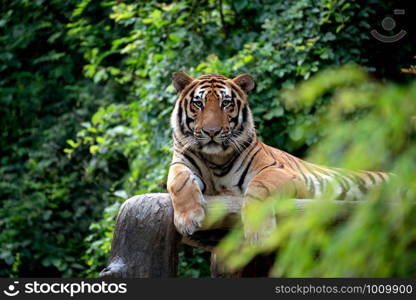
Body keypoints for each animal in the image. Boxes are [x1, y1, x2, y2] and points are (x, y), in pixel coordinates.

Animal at [167, 72, 388, 241]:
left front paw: (259, 233)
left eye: (226, 103)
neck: (215, 159)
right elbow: (178, 181)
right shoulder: (180, 164)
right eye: (198, 104)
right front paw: (188, 219)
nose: (211, 131)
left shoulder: (283, 173)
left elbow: (259, 185)